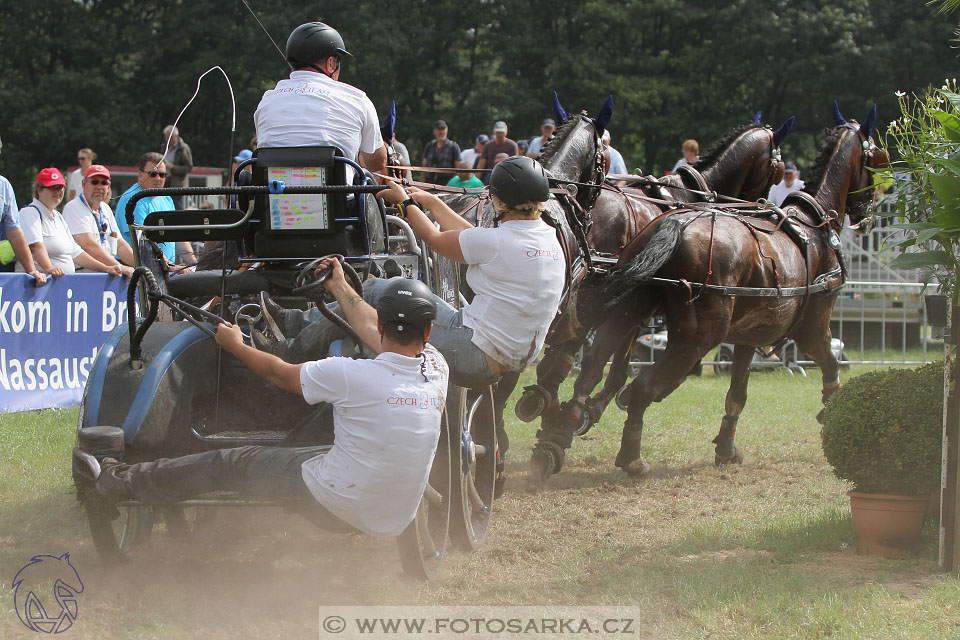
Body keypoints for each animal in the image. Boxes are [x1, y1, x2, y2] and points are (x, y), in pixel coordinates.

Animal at [576, 102, 884, 478]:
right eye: (876, 160)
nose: (869, 215)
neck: (814, 222)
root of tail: (674, 223)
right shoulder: (813, 326)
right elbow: (830, 364)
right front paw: (833, 410)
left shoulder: (749, 335)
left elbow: (738, 392)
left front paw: (726, 446)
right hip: (698, 336)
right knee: (642, 387)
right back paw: (631, 455)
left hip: (633, 308)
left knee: (594, 364)